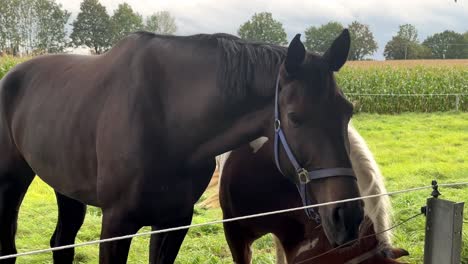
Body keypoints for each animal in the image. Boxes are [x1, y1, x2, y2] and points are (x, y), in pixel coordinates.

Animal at [0, 29, 362, 262]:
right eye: (295, 117)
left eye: (347, 111)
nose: (349, 217)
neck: (166, 119)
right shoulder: (116, 224)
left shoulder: (174, 222)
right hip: (12, 182)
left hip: (67, 188)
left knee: (61, 242)